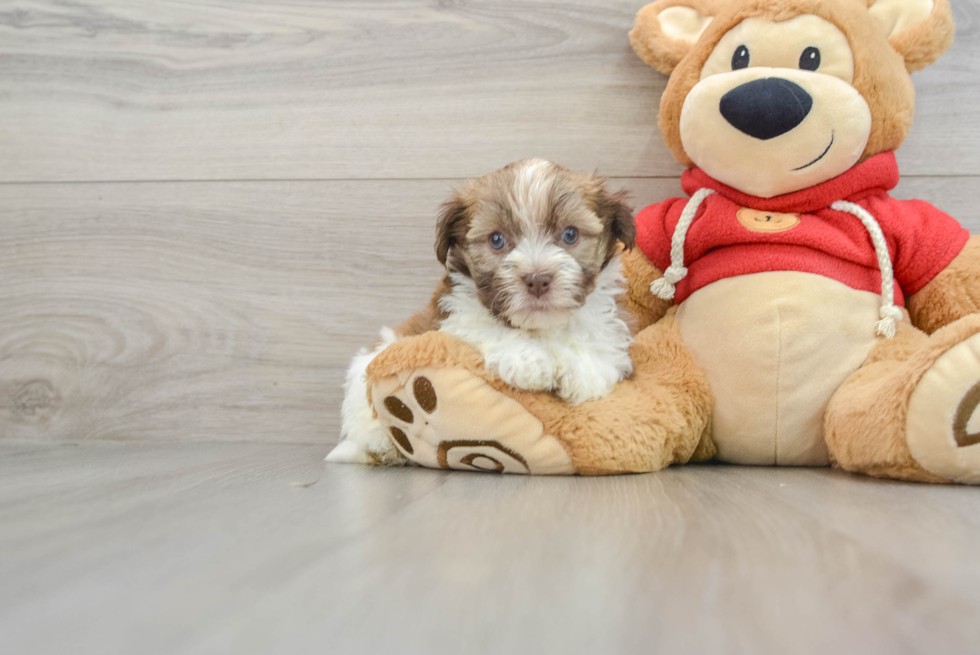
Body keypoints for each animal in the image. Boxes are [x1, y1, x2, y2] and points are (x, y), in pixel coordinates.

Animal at [330, 159, 636, 466]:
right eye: (496, 240)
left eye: (570, 234)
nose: (537, 279)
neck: (538, 327)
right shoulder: (454, 315)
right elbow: (488, 327)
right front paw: (530, 362)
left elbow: (595, 346)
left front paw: (580, 371)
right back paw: (382, 443)